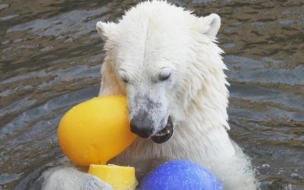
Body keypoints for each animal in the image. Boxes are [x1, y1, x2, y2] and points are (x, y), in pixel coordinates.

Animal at [42, 0, 256, 189]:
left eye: (164, 75)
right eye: (125, 78)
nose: (142, 126)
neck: (158, 146)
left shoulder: (213, 157)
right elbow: (57, 172)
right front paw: (94, 184)